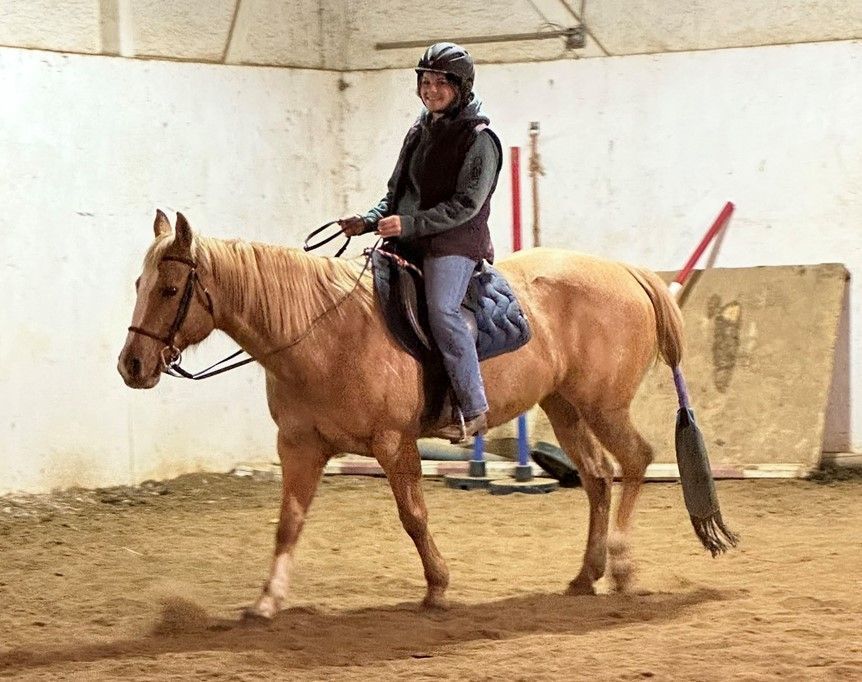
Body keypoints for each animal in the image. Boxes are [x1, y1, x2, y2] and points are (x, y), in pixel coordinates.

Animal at [118, 210, 719, 618]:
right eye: (139, 283)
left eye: (170, 287)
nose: (132, 364)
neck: (320, 331)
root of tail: (626, 272)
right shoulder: (300, 446)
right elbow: (288, 523)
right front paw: (266, 602)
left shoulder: (393, 442)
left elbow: (413, 516)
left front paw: (438, 587)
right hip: (565, 406)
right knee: (597, 477)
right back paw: (585, 576)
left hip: (603, 405)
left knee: (635, 460)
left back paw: (621, 567)